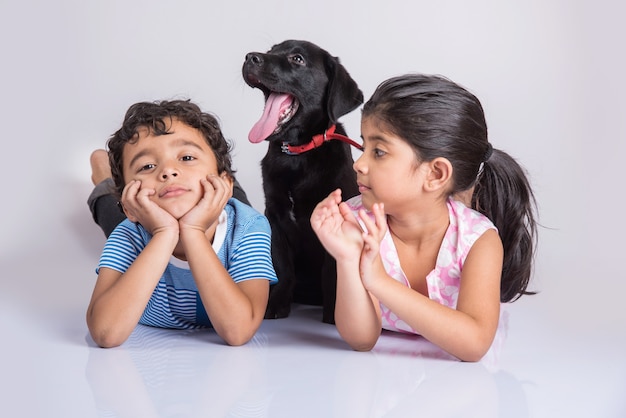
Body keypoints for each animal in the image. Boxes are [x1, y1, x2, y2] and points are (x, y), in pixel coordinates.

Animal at [243, 40, 364, 324]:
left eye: (297, 59)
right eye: (271, 50)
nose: (250, 57)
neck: (297, 155)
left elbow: (332, 271)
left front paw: (335, 313)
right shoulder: (275, 217)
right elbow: (283, 268)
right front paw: (276, 304)